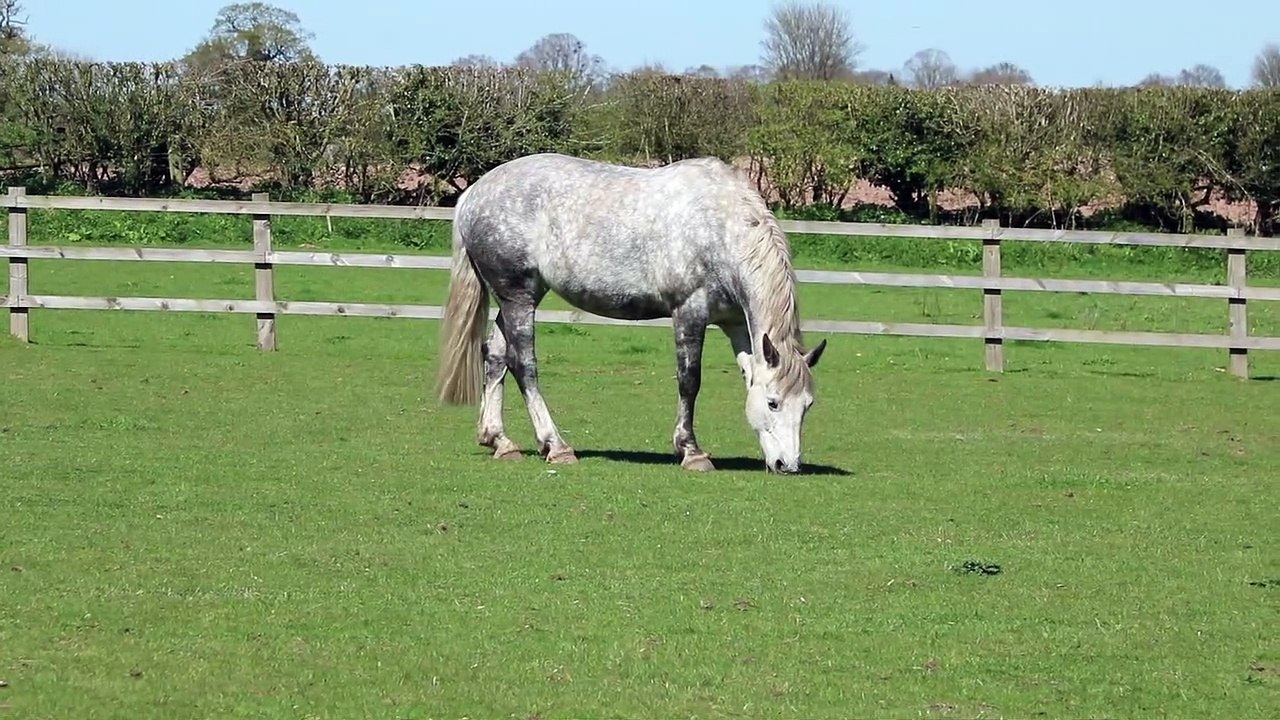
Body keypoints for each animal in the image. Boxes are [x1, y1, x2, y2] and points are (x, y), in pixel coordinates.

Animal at [433, 153, 827, 473]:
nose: (788, 465)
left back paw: (499, 441)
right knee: (523, 365)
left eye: (807, 405)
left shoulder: (736, 324)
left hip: (516, 298)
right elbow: (690, 381)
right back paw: (556, 446)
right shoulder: (689, 312)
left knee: (495, 356)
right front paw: (691, 451)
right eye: (773, 403)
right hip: (519, 298)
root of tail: (474, 194)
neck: (719, 228)